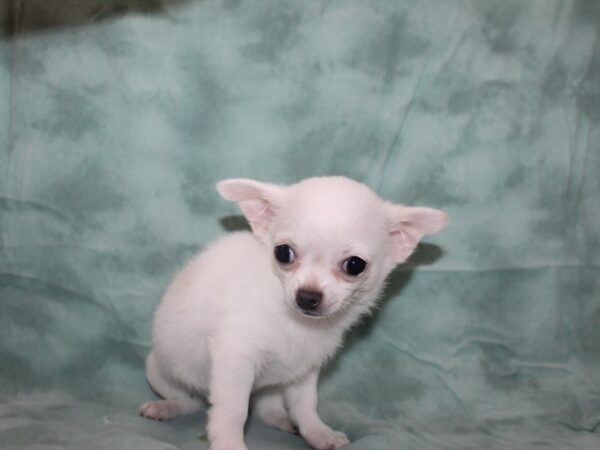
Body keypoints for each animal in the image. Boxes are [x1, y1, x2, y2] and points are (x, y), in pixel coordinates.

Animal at [138, 177, 448, 450]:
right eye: (283, 253)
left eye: (355, 265)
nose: (308, 296)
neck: (295, 321)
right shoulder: (234, 360)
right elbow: (232, 411)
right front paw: (229, 444)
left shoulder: (305, 368)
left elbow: (306, 405)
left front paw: (317, 432)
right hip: (159, 369)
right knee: (190, 401)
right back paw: (165, 407)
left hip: (273, 383)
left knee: (265, 406)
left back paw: (283, 419)